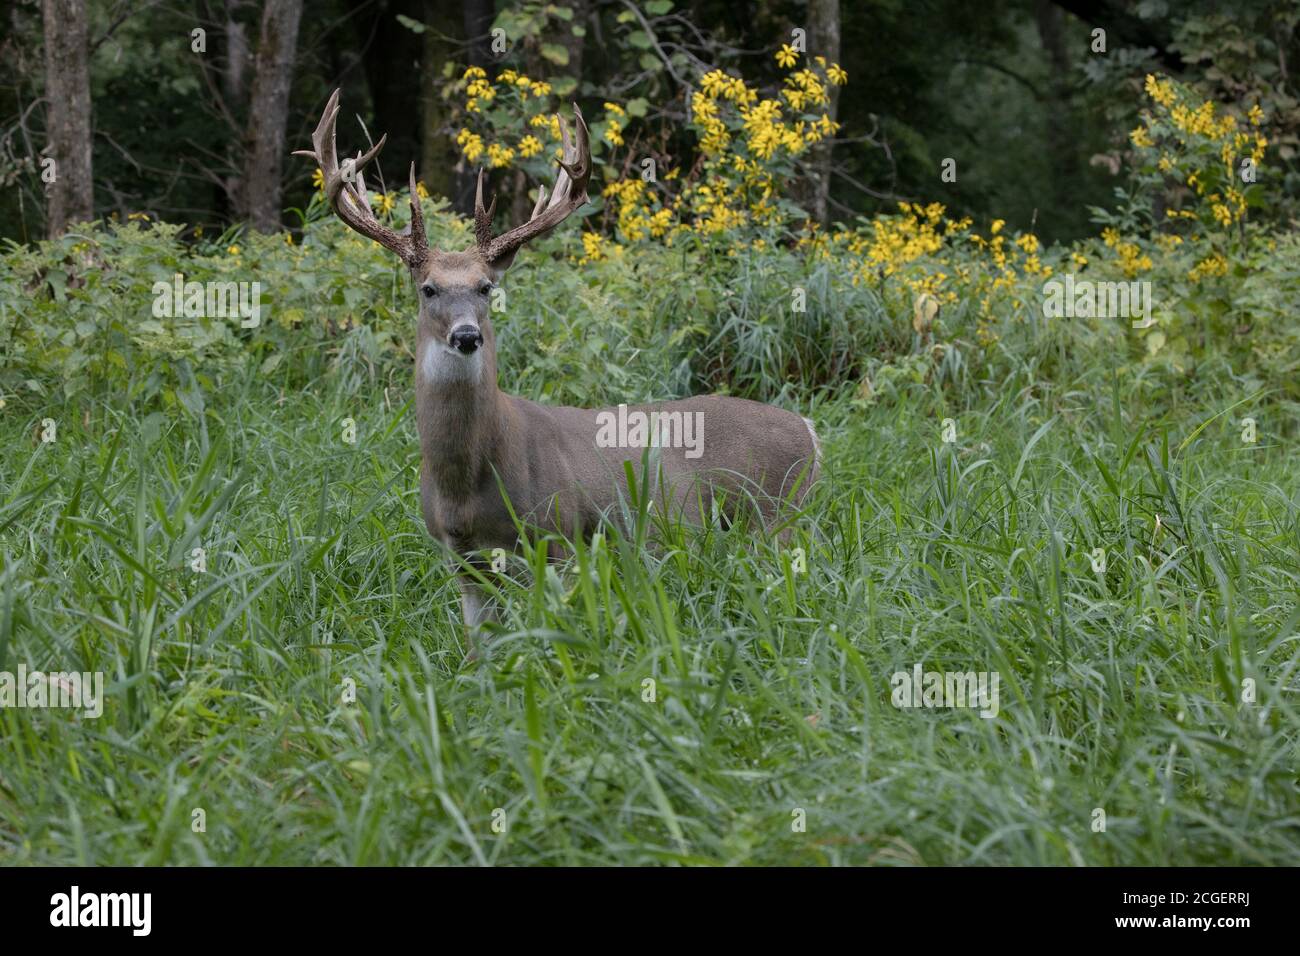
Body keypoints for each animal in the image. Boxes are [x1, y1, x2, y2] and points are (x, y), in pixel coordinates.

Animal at [299, 89, 816, 647]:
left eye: (485, 286)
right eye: (428, 289)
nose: (467, 336)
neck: (466, 484)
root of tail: (810, 430)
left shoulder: (559, 537)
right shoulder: (463, 561)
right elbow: (481, 650)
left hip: (776, 516)